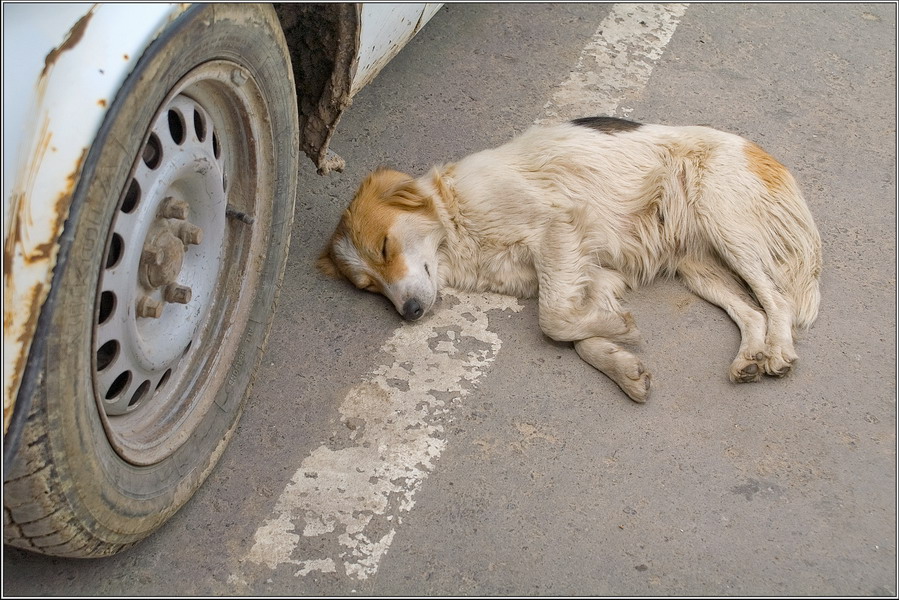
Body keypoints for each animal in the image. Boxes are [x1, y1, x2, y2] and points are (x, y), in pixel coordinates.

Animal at [318, 117, 824, 404]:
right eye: (369, 288)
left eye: (385, 247)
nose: (409, 313)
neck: (459, 228)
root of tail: (760, 153)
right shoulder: (595, 274)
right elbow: (578, 335)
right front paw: (622, 365)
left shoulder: (558, 228)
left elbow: (553, 322)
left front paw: (622, 331)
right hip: (697, 269)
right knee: (751, 311)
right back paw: (749, 357)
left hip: (726, 226)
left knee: (777, 300)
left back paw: (779, 351)